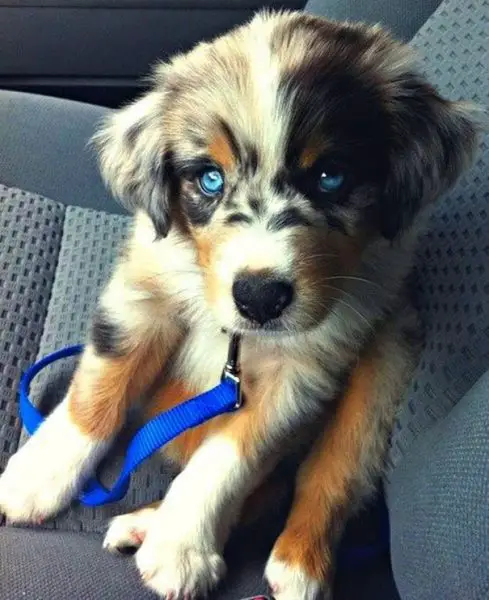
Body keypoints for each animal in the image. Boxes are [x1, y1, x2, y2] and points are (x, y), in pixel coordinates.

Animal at [0, 10, 480, 600]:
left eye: (331, 177)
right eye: (210, 178)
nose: (259, 298)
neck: (240, 337)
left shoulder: (304, 370)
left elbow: (231, 458)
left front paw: (182, 545)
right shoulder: (141, 293)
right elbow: (99, 388)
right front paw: (37, 478)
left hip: (386, 366)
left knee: (325, 476)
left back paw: (294, 562)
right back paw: (144, 521)